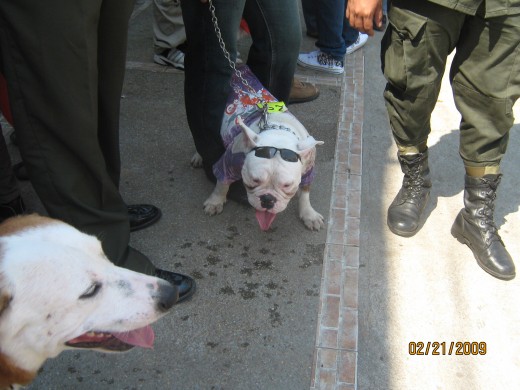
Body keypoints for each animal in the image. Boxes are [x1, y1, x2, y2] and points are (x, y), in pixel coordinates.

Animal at [196, 66, 324, 232]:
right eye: (254, 180)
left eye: (287, 185)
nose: (268, 199)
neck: (278, 132)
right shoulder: (228, 162)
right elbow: (222, 184)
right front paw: (215, 201)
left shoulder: (308, 170)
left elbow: (305, 192)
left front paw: (309, 214)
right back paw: (198, 156)